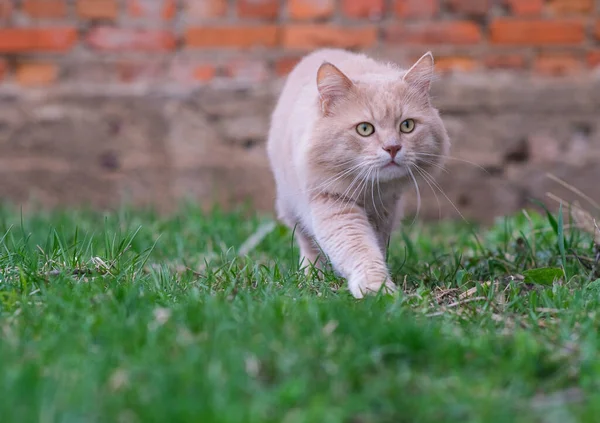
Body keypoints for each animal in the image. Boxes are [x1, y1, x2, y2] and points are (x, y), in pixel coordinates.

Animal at [268, 48, 450, 298]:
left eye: (407, 126)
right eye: (365, 129)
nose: (392, 148)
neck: (370, 189)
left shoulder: (385, 211)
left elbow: (376, 246)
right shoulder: (332, 204)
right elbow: (359, 249)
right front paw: (376, 288)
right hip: (290, 205)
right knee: (307, 242)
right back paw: (313, 275)